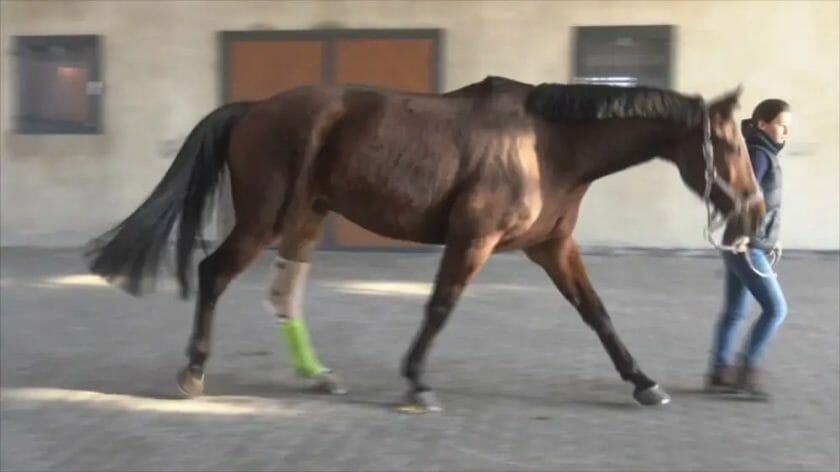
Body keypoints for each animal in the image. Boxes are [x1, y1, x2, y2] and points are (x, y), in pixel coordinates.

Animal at [86, 75, 765, 411]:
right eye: (731, 142)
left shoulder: (551, 247)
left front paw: (644, 382)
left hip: (305, 219)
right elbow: (439, 306)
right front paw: (416, 382)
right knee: (213, 273)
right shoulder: (474, 238)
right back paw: (194, 370)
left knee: (282, 294)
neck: (547, 144)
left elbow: (597, 314)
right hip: (264, 220)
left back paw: (319, 376)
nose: (756, 213)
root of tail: (254, 109)